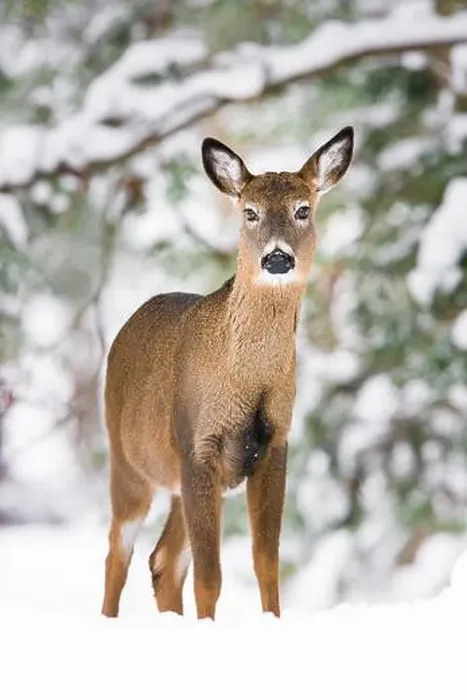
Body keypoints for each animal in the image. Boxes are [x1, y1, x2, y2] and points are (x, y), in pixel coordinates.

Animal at [101, 126, 354, 620]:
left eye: (303, 209)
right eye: (249, 212)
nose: (277, 258)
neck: (247, 381)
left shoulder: (275, 444)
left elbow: (266, 562)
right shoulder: (197, 444)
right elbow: (209, 575)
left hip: (181, 482)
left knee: (162, 560)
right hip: (128, 461)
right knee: (118, 552)